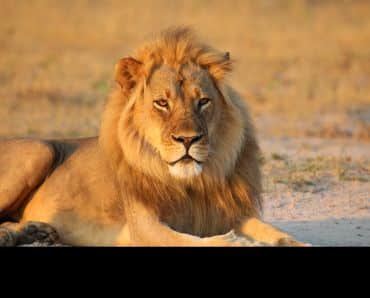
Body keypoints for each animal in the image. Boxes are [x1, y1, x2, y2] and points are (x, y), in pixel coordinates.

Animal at [0, 27, 306, 247]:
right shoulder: (143, 228)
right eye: (162, 103)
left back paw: (37, 232)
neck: (190, 184)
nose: (188, 140)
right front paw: (239, 243)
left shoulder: (225, 213)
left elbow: (275, 232)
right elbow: (196, 242)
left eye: (203, 101)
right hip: (38, 150)